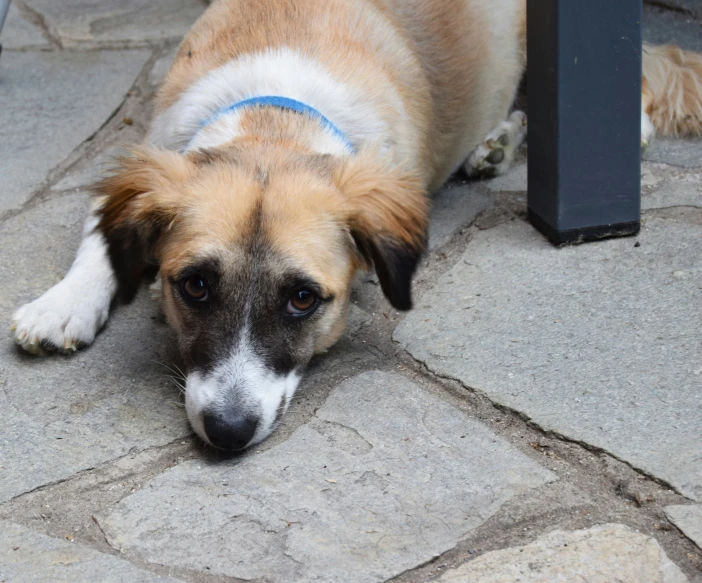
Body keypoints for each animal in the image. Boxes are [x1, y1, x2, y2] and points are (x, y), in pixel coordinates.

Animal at [9, 0, 702, 452]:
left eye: (302, 298)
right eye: (196, 286)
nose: (228, 433)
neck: (275, 121)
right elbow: (99, 239)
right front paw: (63, 305)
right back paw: (496, 144)